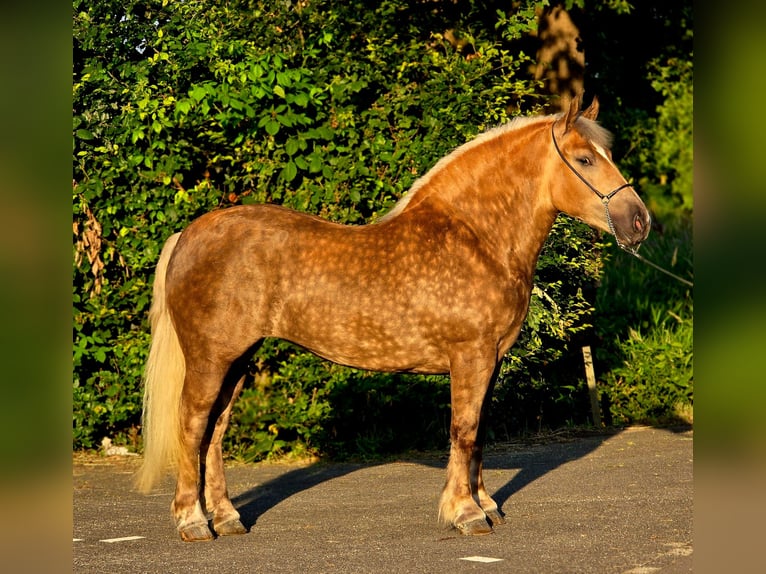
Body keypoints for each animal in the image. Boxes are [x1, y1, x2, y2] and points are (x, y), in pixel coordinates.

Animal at [135, 95, 650, 541]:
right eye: (584, 160)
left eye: (606, 153)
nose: (639, 221)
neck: (477, 238)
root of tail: (188, 235)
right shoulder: (470, 356)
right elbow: (463, 430)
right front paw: (466, 513)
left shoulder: (492, 359)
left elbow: (480, 431)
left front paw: (486, 504)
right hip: (211, 358)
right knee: (193, 425)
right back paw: (193, 522)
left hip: (239, 359)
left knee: (216, 431)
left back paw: (227, 518)